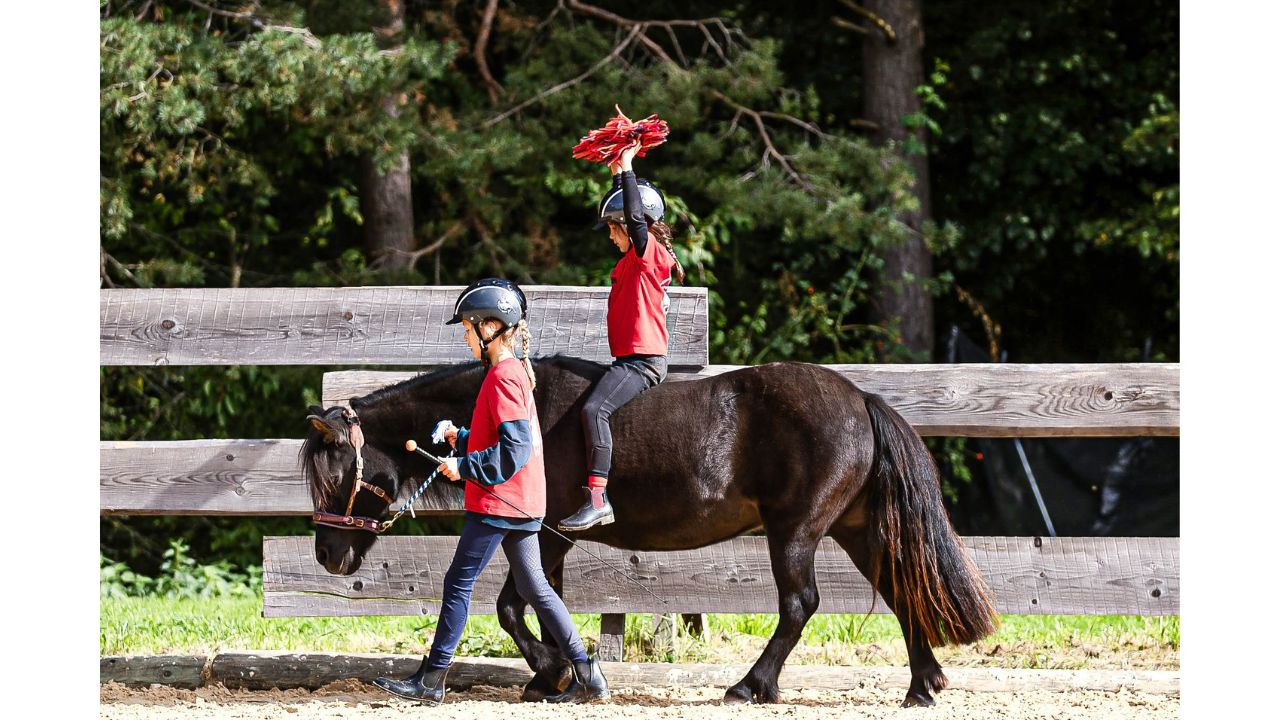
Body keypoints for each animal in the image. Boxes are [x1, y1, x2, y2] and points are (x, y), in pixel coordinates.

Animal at [301, 355, 999, 707]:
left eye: (334, 476)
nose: (328, 554)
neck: (521, 406)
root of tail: (860, 399)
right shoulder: (541, 536)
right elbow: (529, 604)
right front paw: (554, 675)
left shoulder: (548, 531)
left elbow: (512, 607)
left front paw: (559, 673)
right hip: (853, 528)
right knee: (905, 590)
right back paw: (922, 684)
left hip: (796, 530)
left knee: (800, 604)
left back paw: (752, 685)